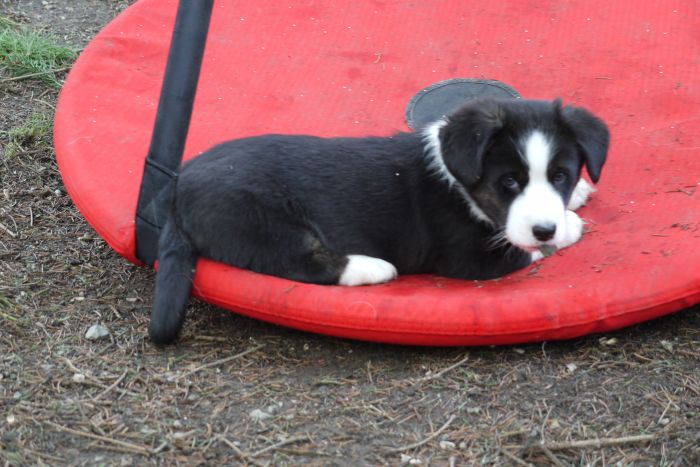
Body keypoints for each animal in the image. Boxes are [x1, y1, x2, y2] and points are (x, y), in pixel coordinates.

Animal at [148, 97, 609, 344]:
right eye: (508, 182)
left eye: (561, 175)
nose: (545, 227)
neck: (455, 175)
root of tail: (177, 192)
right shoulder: (472, 257)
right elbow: (521, 246)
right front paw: (569, 226)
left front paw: (576, 197)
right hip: (259, 221)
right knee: (304, 263)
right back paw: (373, 267)